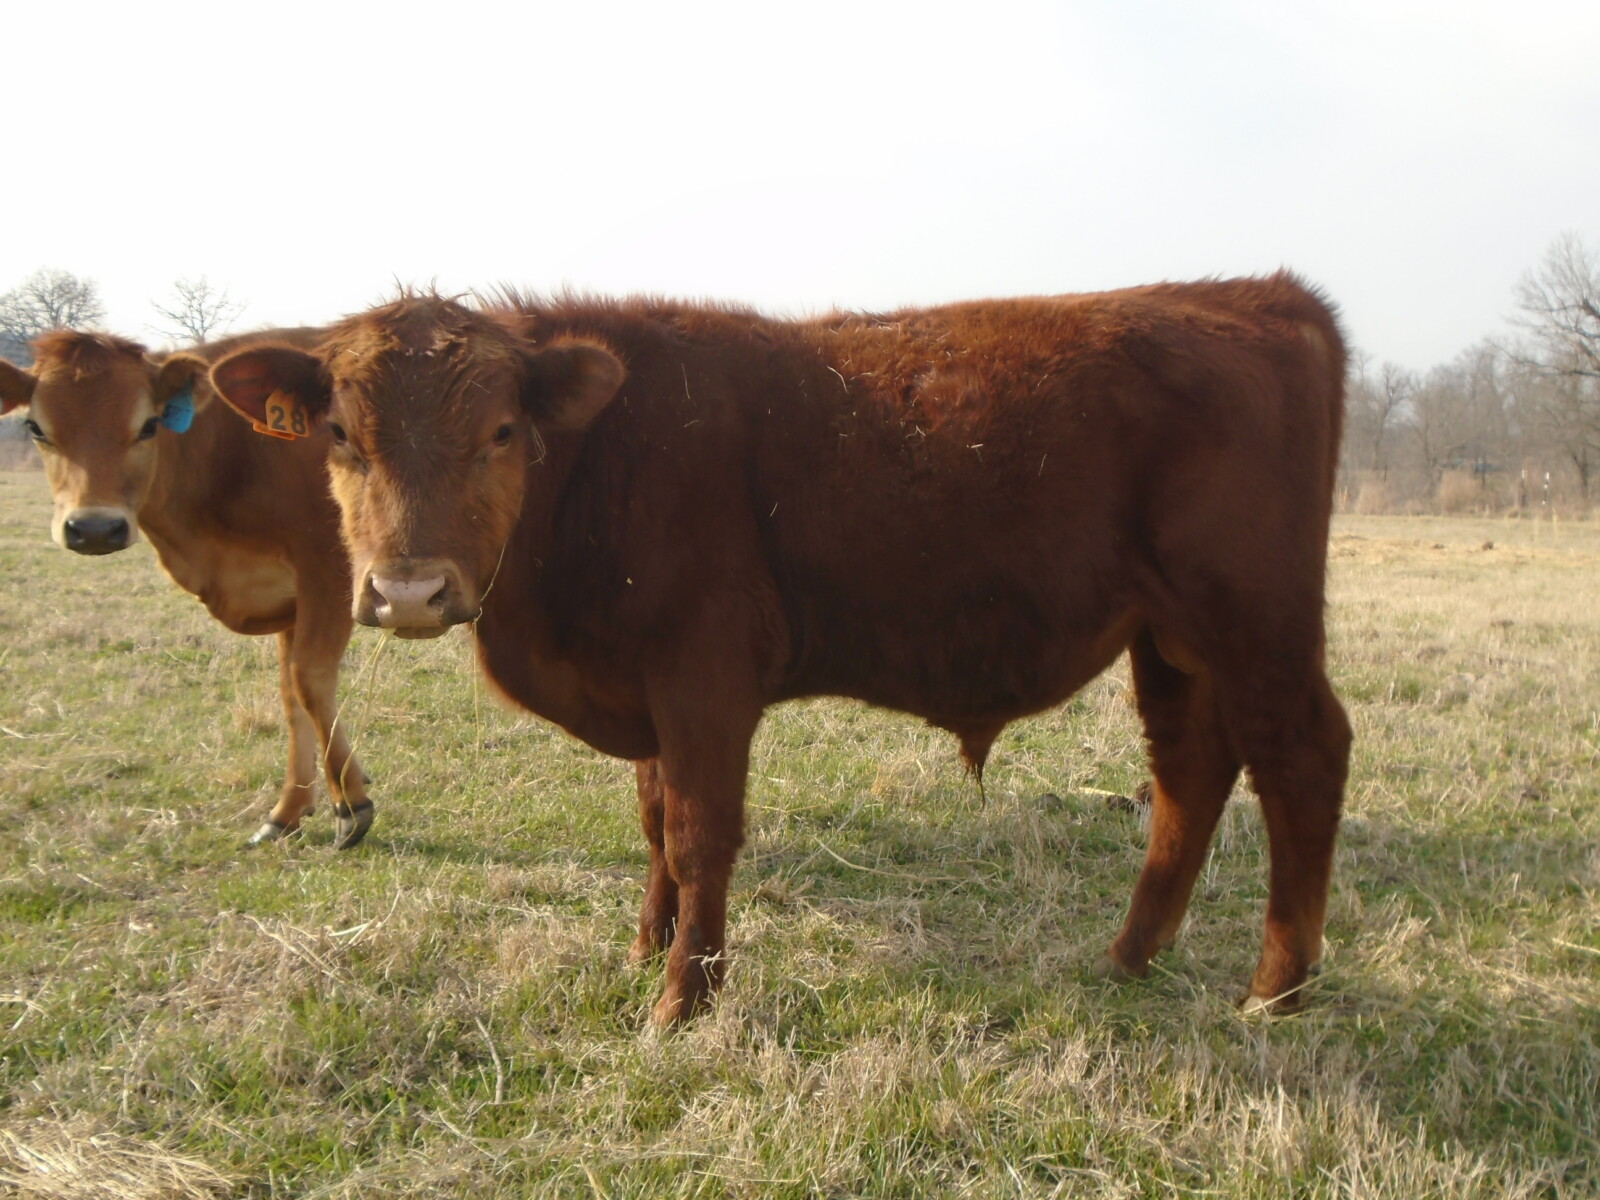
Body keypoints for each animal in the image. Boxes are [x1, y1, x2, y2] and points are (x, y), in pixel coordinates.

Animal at [0, 329, 377, 848]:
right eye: (35, 427)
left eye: (149, 424)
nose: (94, 529)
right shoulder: (290, 595)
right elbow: (290, 695)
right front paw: (288, 811)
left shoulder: (330, 571)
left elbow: (310, 680)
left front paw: (351, 803)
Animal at [208, 274, 1352, 1025]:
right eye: (341, 436)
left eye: (498, 433)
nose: (408, 589)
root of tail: (1256, 295)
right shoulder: (651, 696)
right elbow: (654, 821)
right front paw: (647, 948)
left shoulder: (705, 676)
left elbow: (699, 832)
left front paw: (683, 999)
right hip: (1171, 642)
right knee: (1190, 775)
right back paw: (1128, 959)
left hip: (1254, 624)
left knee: (1302, 758)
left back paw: (1274, 991)